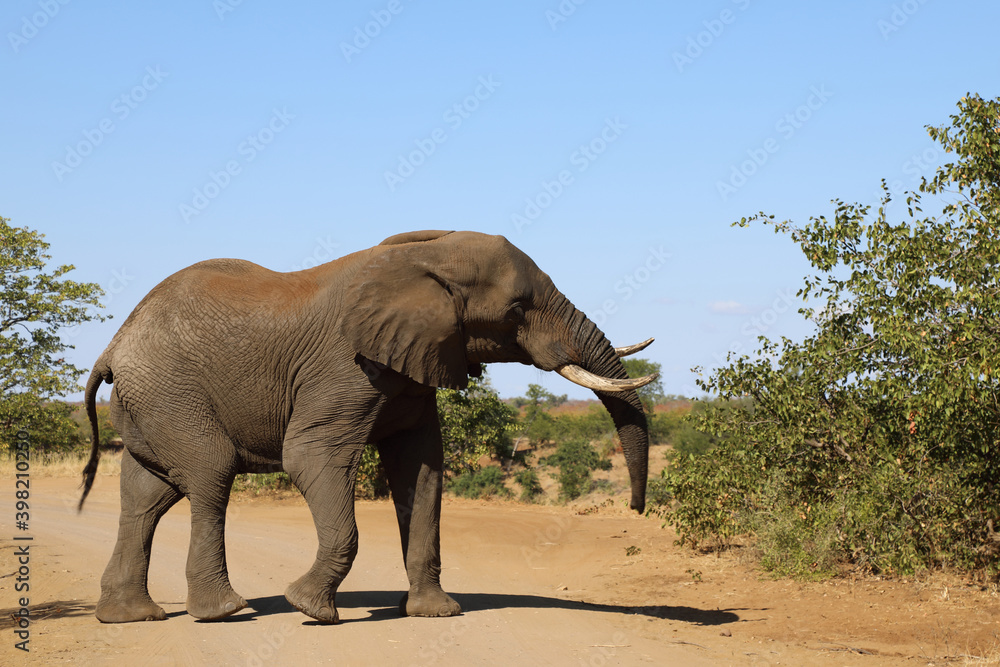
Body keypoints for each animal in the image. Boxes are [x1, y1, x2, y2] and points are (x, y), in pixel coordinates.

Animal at [78, 230, 656, 624]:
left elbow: (420, 470)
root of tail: (113, 346)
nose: (635, 510)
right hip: (172, 391)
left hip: (151, 401)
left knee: (146, 496)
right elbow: (310, 457)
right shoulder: (343, 367)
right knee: (209, 475)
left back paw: (130, 617)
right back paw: (223, 611)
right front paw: (310, 609)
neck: (425, 256)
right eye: (518, 308)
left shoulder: (416, 363)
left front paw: (436, 613)